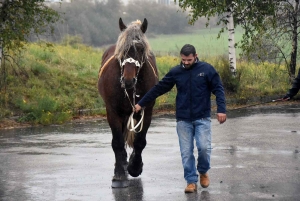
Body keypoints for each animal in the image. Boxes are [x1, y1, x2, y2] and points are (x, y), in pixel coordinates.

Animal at [98, 18, 159, 188]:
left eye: (140, 48)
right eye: (122, 50)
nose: (128, 80)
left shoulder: (147, 111)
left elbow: (140, 142)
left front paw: (135, 166)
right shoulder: (113, 112)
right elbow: (117, 143)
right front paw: (119, 173)